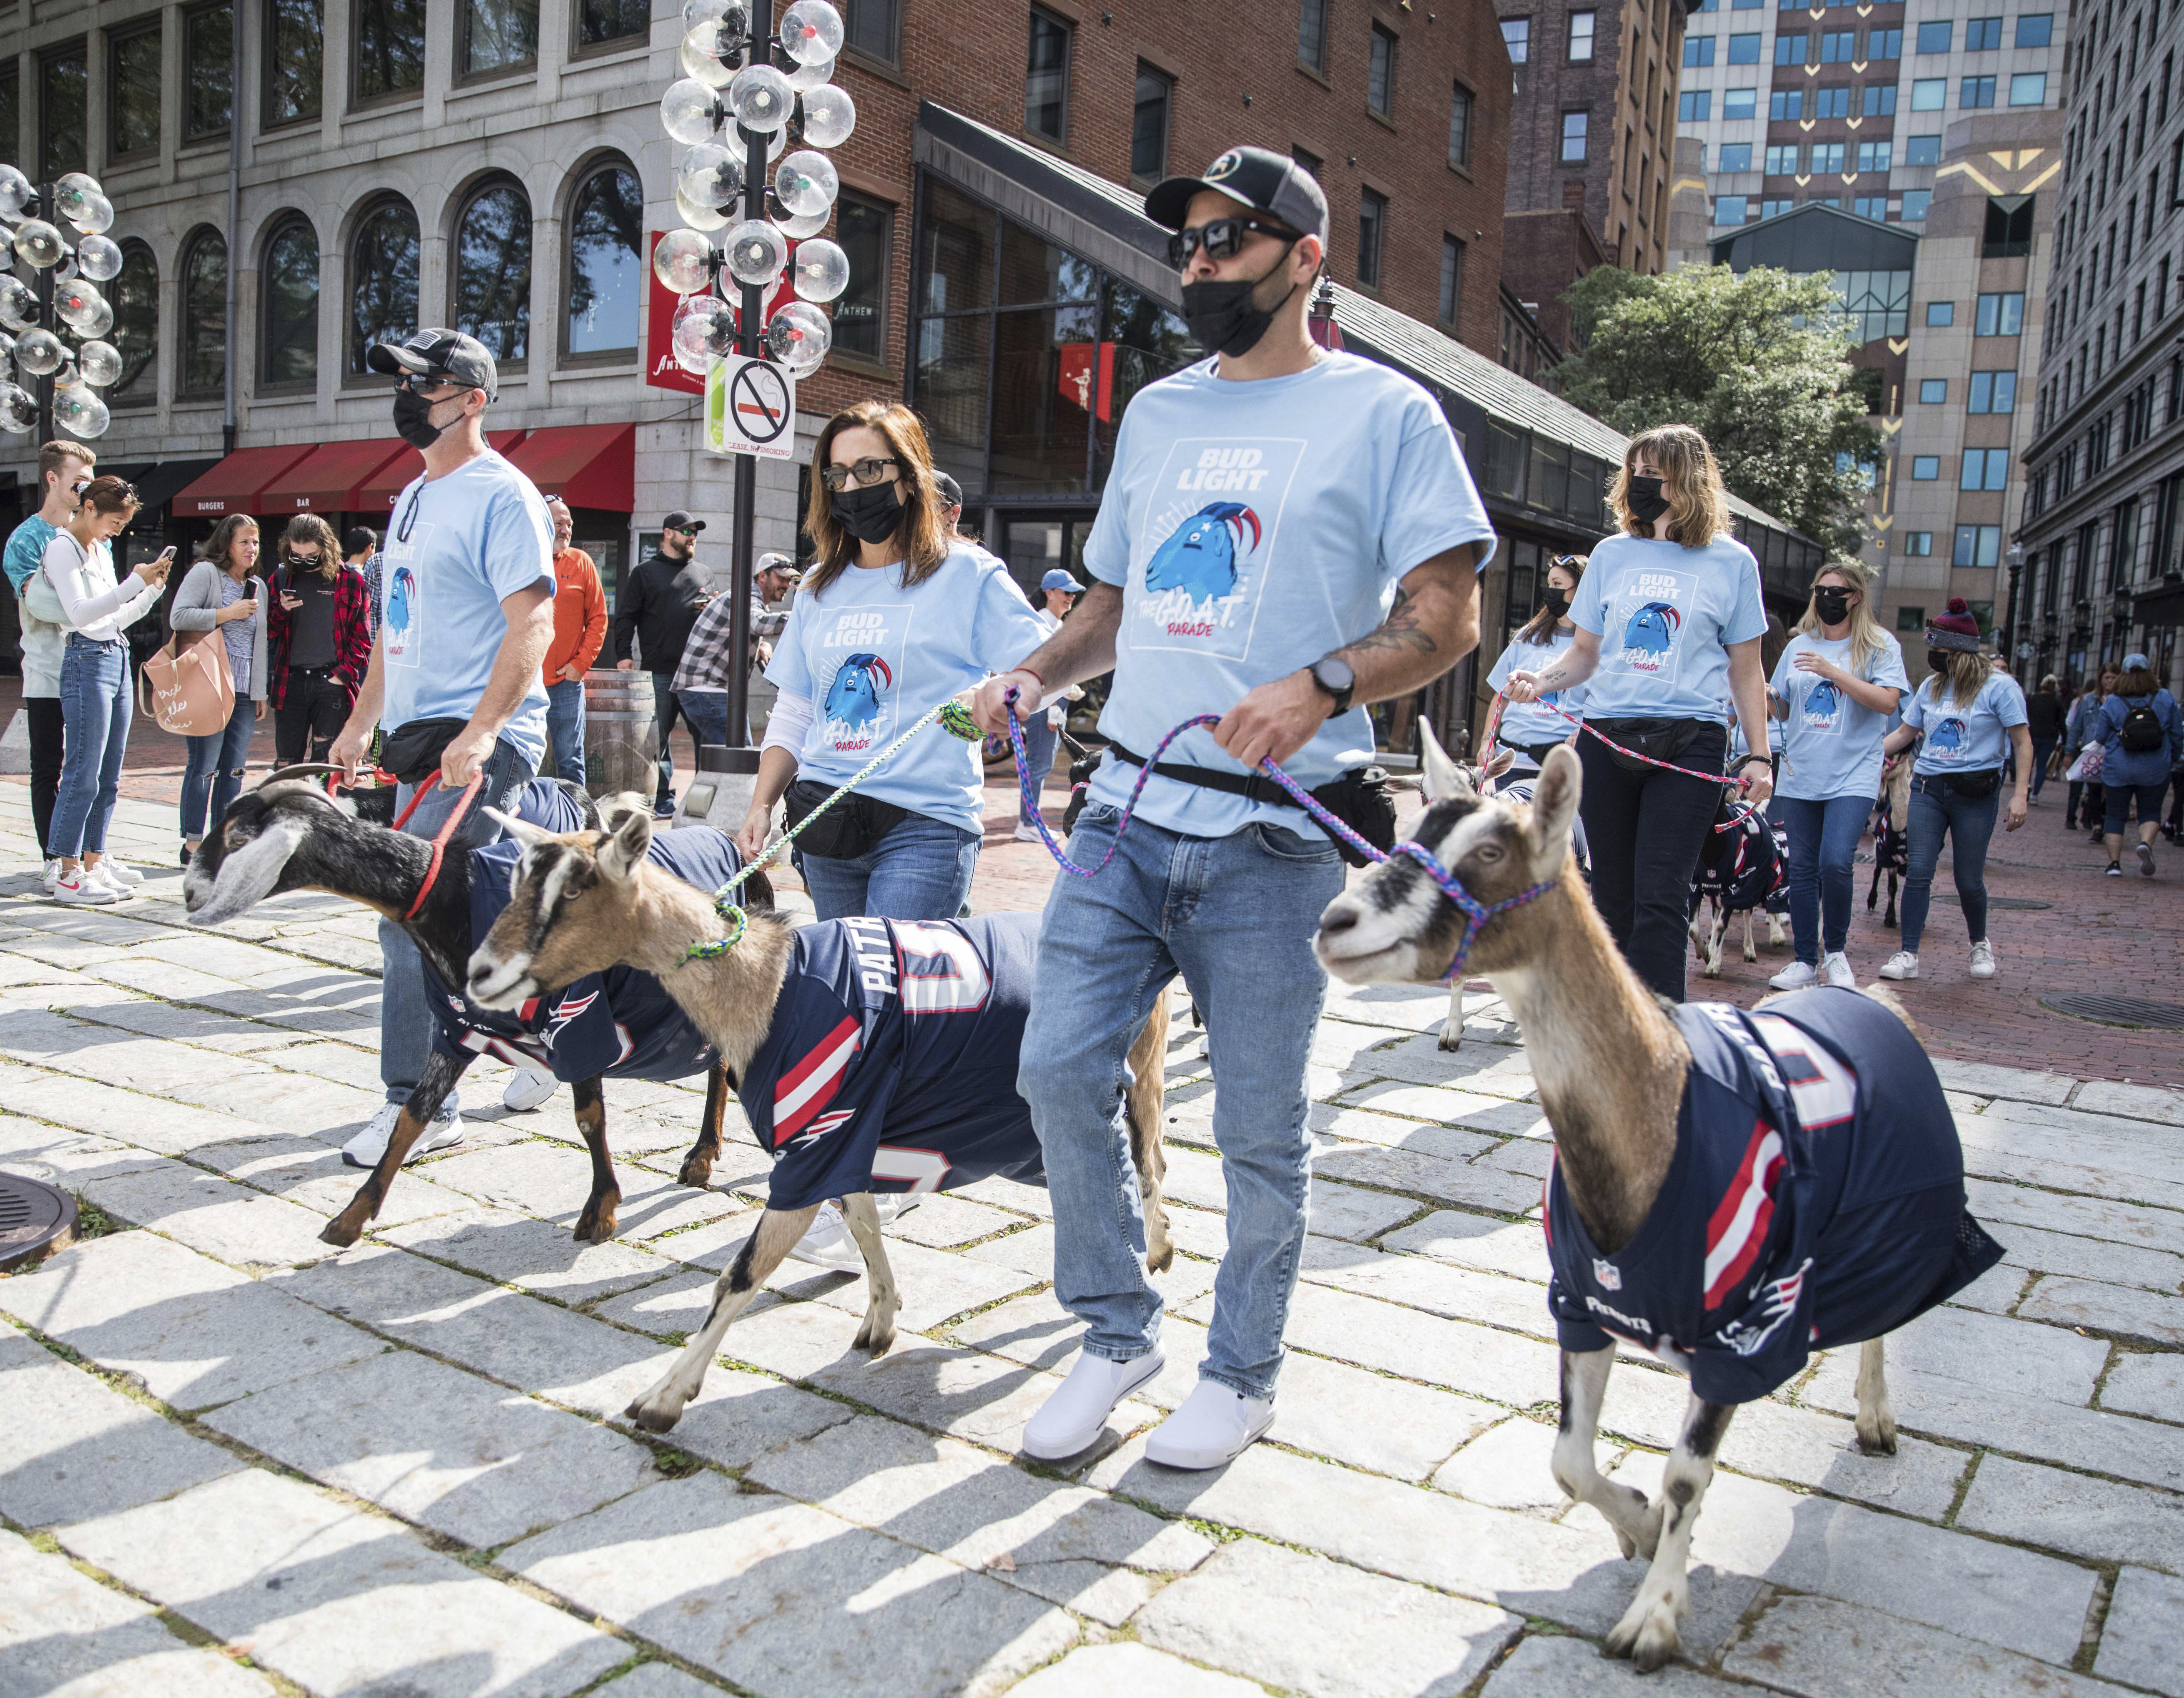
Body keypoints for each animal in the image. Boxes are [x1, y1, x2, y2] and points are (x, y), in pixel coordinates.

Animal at [181, 769, 760, 1241]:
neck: (452, 895)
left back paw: (705, 1156)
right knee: (721, 1061)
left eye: (237, 837)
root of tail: (742, 854)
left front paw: (600, 1213)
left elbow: (588, 1118)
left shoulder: (578, 1014)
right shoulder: (459, 1023)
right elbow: (414, 1112)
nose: (188, 891)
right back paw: (704, 1155)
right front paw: (350, 1219)